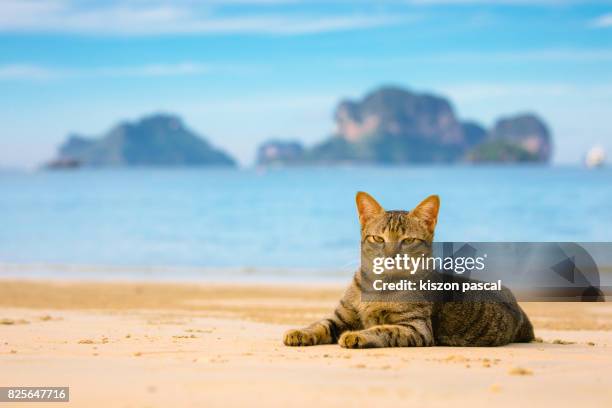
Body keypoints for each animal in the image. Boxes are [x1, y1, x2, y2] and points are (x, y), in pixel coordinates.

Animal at [284, 191, 532, 348]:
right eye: (378, 238)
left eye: (408, 240)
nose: (391, 255)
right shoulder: (341, 316)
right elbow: (320, 324)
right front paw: (300, 332)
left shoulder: (415, 327)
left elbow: (383, 329)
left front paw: (357, 336)